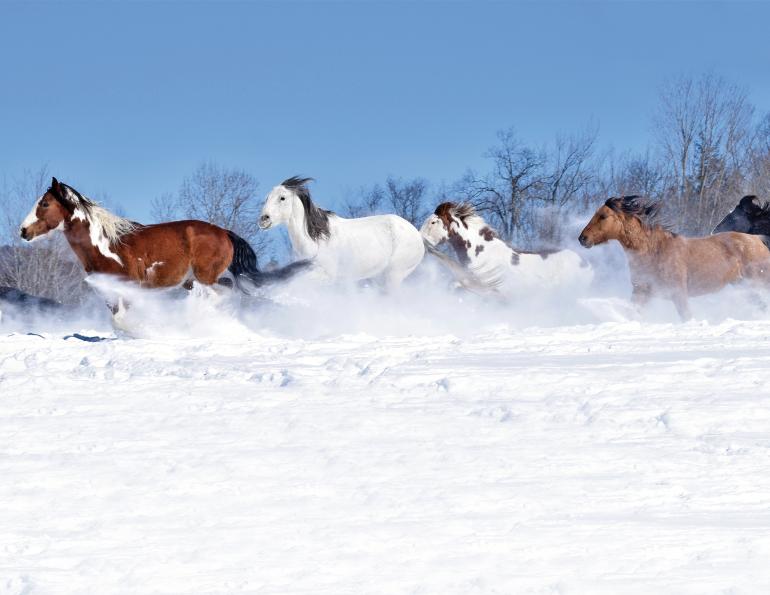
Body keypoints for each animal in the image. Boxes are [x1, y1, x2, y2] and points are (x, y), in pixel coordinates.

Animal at [258, 176, 424, 290]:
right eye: (267, 198)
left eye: (282, 198)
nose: (263, 219)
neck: (315, 240)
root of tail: (417, 235)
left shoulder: (325, 276)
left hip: (394, 274)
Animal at [578, 195, 770, 320]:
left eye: (603, 216)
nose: (582, 238)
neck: (655, 250)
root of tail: (758, 239)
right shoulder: (641, 291)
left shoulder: (678, 293)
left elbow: (686, 317)